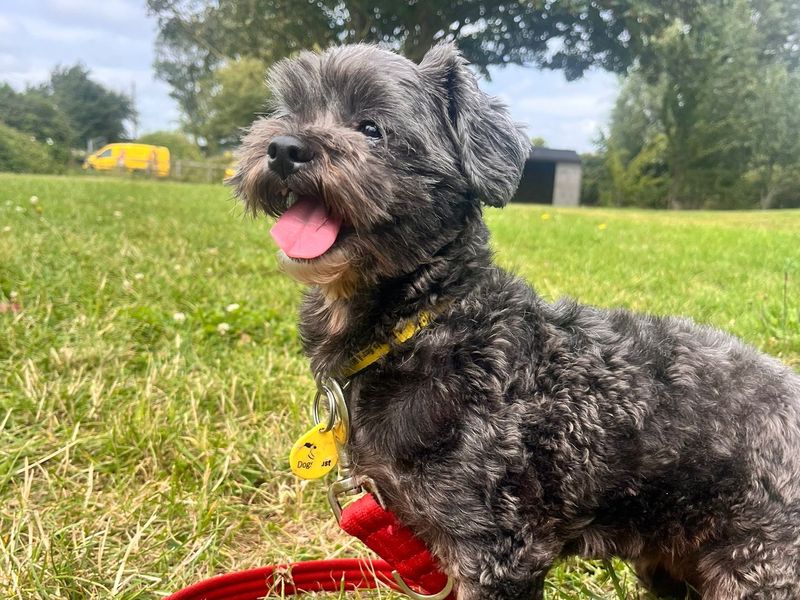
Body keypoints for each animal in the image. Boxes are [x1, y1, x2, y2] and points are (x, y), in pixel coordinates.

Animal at [231, 43, 800, 600]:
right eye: (288, 111)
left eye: (372, 127)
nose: (282, 148)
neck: (430, 326)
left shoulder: (497, 550)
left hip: (759, 565)